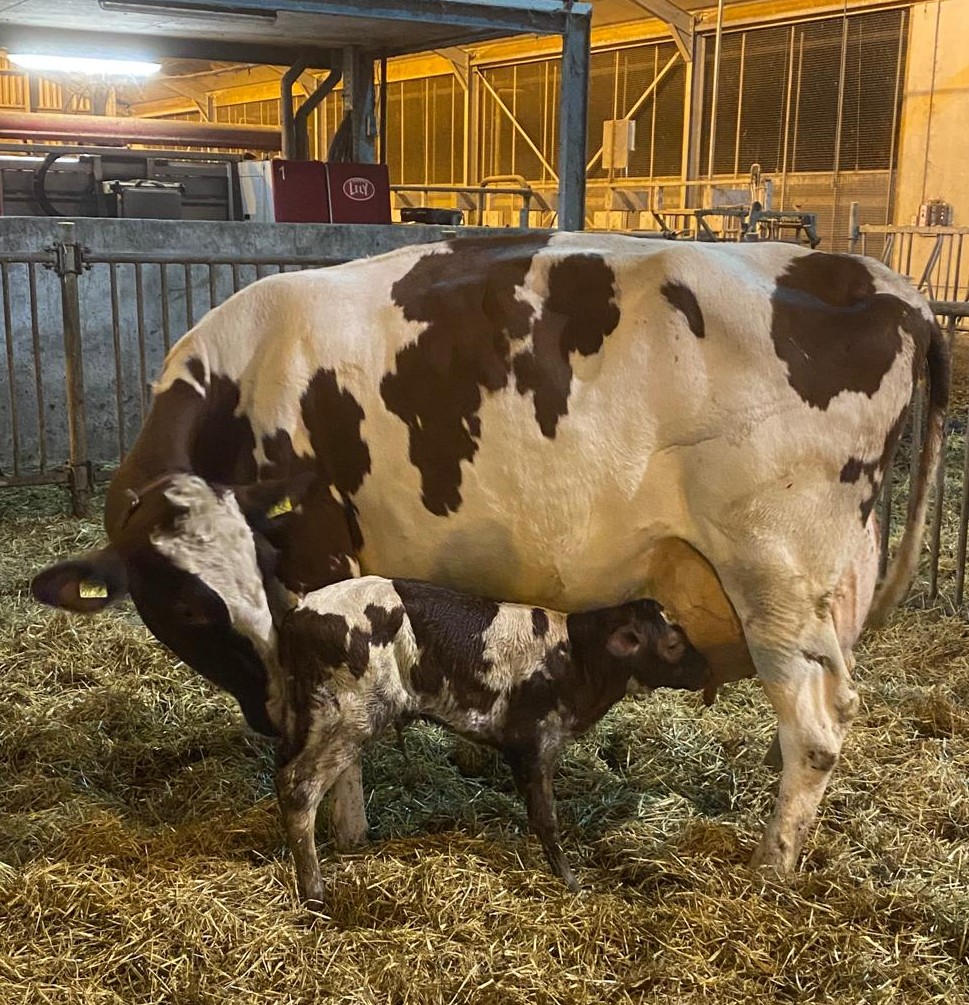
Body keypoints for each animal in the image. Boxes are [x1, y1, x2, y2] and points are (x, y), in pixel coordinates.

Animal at [264, 574, 708, 903]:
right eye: (672, 643)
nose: (707, 666)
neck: (575, 658)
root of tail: (300, 612)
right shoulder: (534, 744)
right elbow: (546, 819)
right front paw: (570, 882)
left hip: (312, 718)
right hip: (349, 716)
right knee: (298, 787)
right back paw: (315, 892)